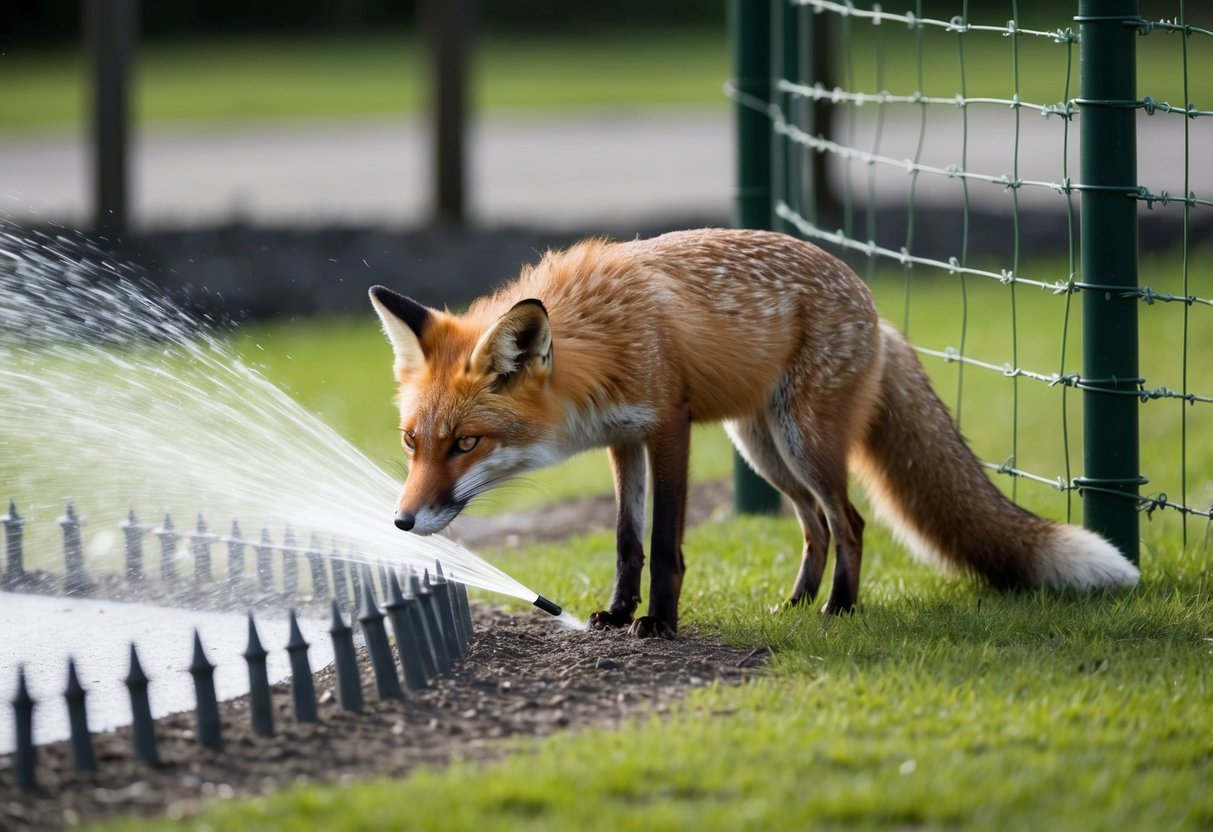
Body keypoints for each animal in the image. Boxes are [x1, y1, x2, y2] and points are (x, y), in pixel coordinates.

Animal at [369, 228, 1139, 639]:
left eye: (466, 444)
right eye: (412, 442)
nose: (401, 523)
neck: (602, 334)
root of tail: (872, 306)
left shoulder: (668, 427)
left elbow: (666, 546)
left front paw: (661, 624)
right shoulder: (622, 441)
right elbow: (625, 542)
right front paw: (617, 613)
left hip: (805, 442)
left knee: (850, 522)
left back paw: (838, 608)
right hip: (763, 448)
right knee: (816, 527)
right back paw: (795, 602)